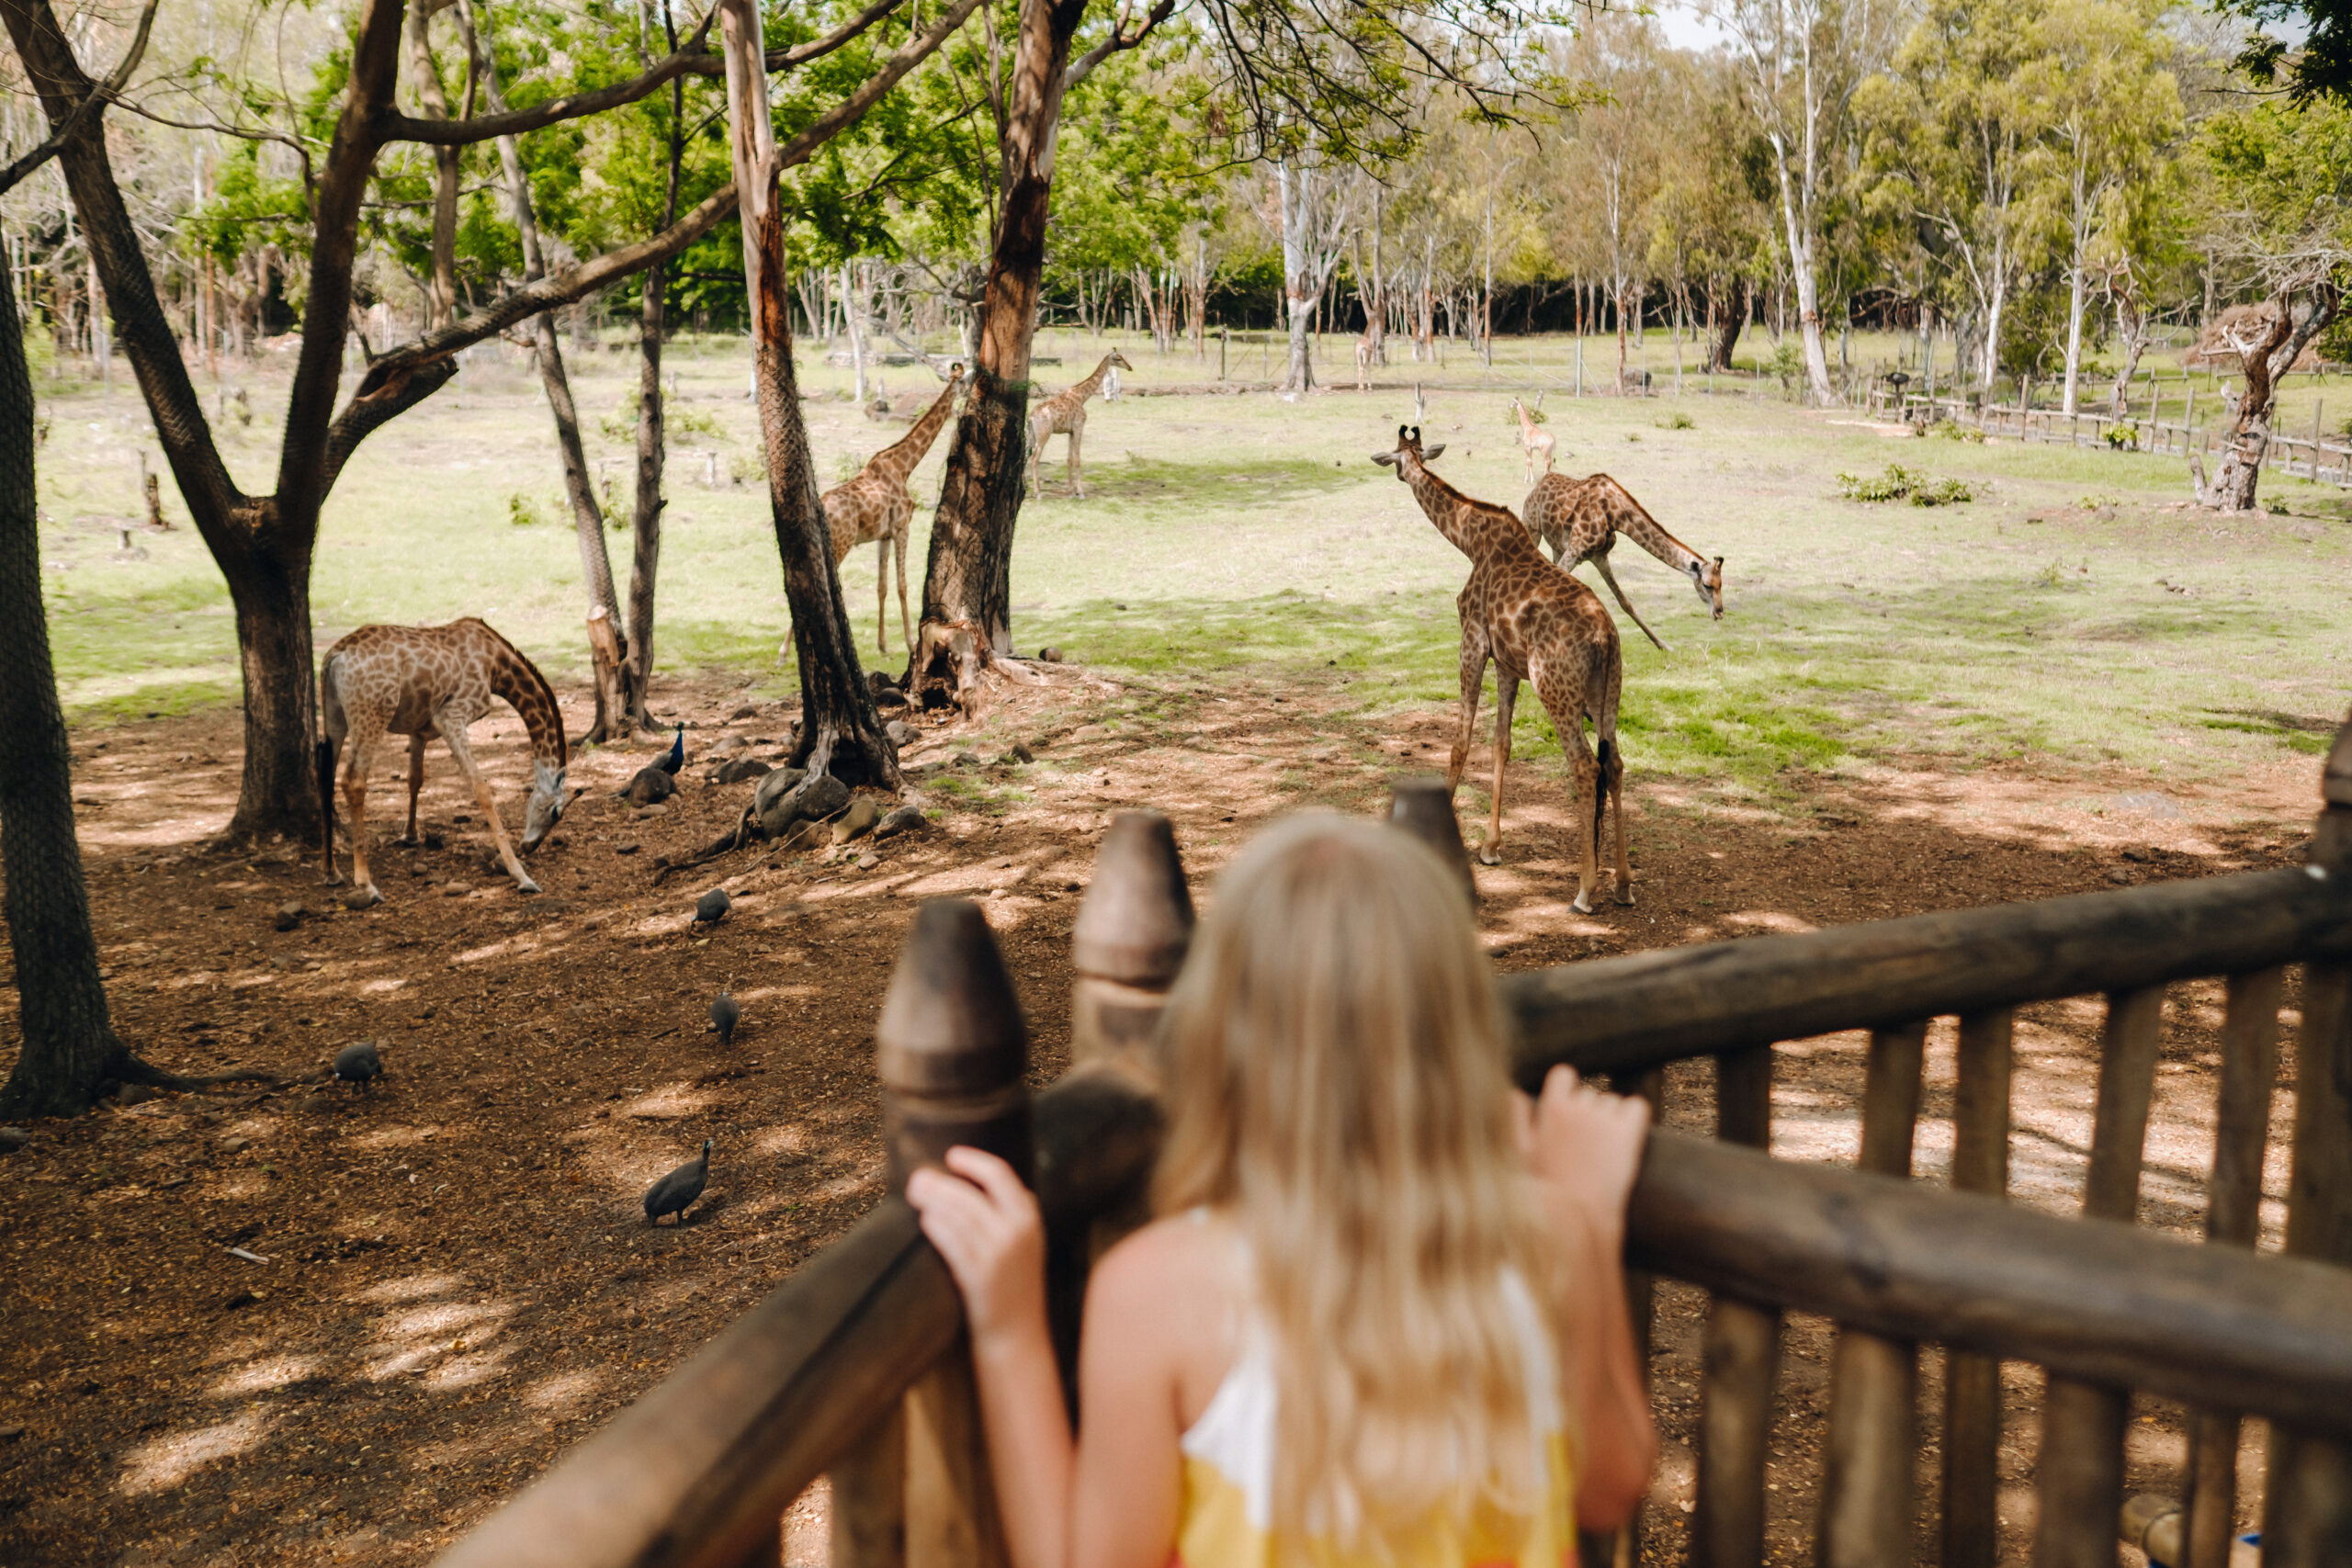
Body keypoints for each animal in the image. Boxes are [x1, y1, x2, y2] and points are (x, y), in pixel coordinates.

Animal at [317, 618, 569, 904]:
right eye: (555, 812)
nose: (529, 846)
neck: (496, 665)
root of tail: (335, 656)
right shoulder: (451, 715)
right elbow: (481, 789)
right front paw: (522, 876)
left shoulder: (419, 730)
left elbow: (415, 779)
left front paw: (410, 836)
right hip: (372, 712)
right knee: (353, 780)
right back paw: (366, 884)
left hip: (335, 714)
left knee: (326, 775)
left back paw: (331, 871)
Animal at [822, 363, 964, 655]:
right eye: (965, 381)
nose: (968, 398)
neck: (903, 467)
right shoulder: (902, 528)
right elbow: (902, 586)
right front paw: (910, 642)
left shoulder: (884, 535)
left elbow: (882, 587)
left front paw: (883, 644)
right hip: (841, 543)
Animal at [1025, 349, 1131, 499]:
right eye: (1117, 359)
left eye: (1122, 356)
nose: (1130, 367)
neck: (1082, 397)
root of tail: (1031, 417)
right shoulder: (1079, 426)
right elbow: (1078, 460)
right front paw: (1080, 492)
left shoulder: (1070, 431)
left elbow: (1069, 459)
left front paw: (1071, 491)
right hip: (1044, 435)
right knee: (1035, 459)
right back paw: (1038, 493)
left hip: (1031, 436)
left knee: (1025, 457)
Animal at [1372, 425, 1631, 913]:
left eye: (1399, 456)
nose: (1400, 475)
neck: (1471, 541)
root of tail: (1604, 635)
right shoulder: (1508, 664)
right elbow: (1501, 744)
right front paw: (1491, 847)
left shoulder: (1472, 643)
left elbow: (1460, 742)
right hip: (1607, 691)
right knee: (1616, 763)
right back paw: (1624, 885)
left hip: (1555, 687)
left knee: (1585, 766)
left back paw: (1585, 890)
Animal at [1520, 472, 1724, 654]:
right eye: (1707, 585)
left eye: (1721, 584)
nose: (1719, 612)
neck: (1615, 515)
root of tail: (1539, 484)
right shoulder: (1575, 551)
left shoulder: (1599, 556)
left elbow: (1625, 602)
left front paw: (1663, 645)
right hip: (1532, 527)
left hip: (1557, 547)